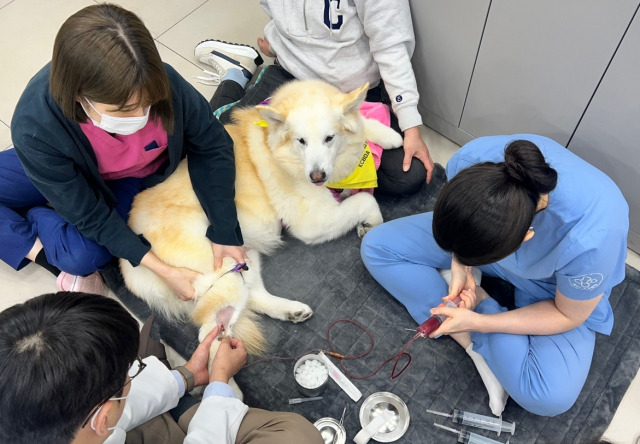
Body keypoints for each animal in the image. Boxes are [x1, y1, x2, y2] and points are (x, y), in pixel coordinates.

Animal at [119, 78, 404, 358]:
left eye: (329, 138)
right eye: (301, 141)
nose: (317, 177)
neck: (278, 149)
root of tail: (129, 265)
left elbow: (362, 122)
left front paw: (392, 136)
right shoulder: (312, 223)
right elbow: (366, 200)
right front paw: (371, 223)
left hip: (245, 256)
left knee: (252, 297)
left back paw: (291, 311)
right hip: (222, 267)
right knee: (207, 332)